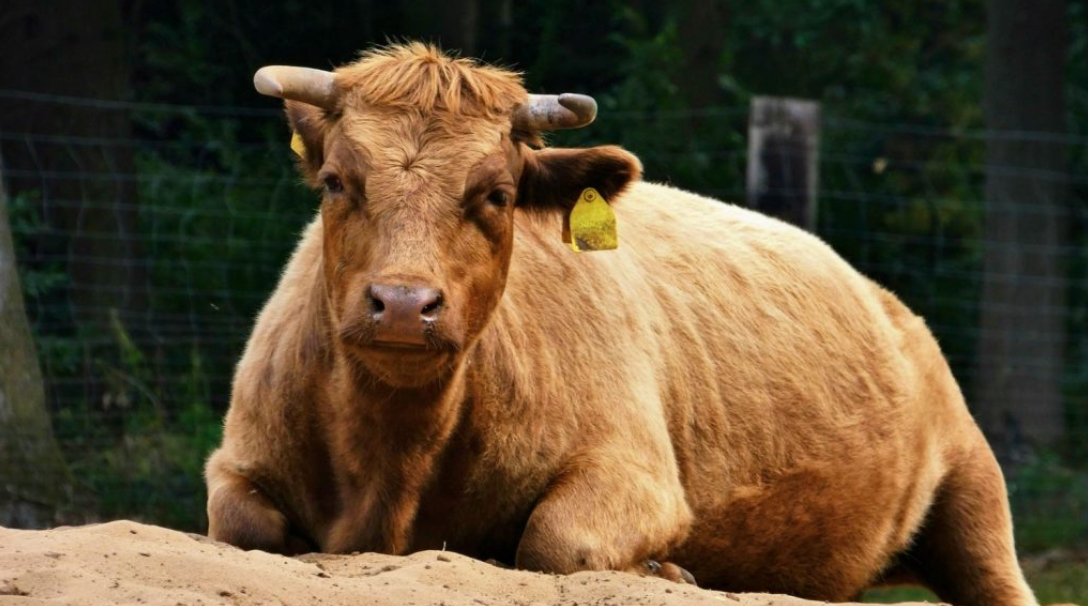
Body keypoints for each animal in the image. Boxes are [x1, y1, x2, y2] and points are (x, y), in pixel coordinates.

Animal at [204, 43, 1038, 606]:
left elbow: (558, 541)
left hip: (973, 489)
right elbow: (244, 529)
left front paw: (667, 568)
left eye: (497, 193)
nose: (404, 305)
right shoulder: (237, 462)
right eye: (336, 182)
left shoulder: (635, 473)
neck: (391, 464)